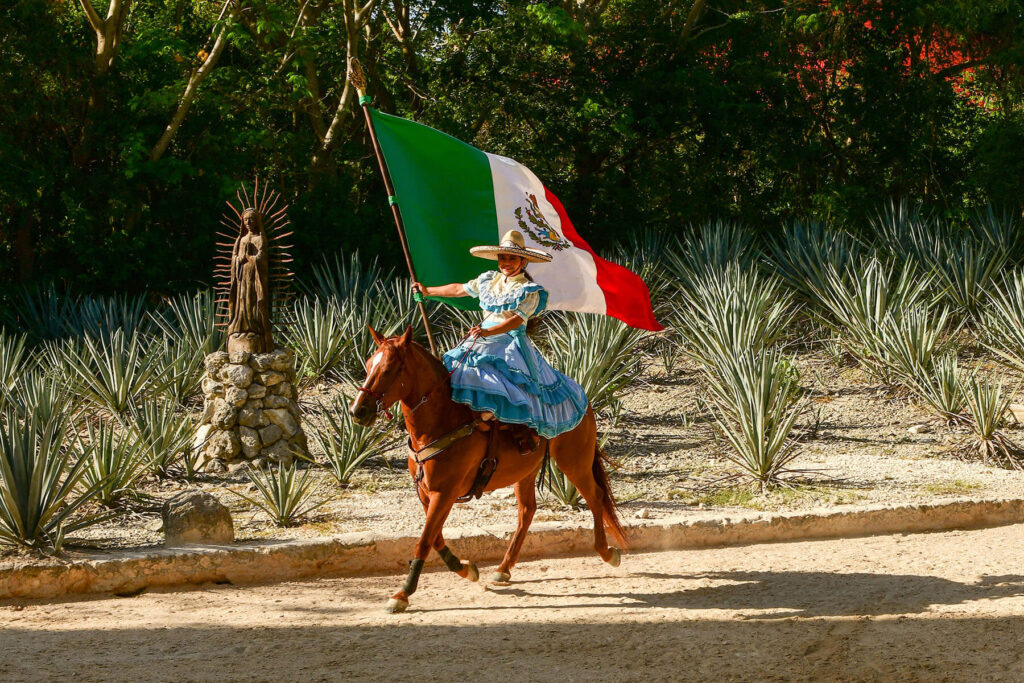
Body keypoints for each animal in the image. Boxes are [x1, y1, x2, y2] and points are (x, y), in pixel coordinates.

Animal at [348, 325, 626, 614]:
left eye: (390, 368)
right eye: (368, 364)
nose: (358, 411)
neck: (443, 420)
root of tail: (582, 394)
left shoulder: (444, 493)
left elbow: (424, 541)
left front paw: (402, 594)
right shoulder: (426, 493)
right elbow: (435, 538)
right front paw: (466, 568)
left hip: (574, 461)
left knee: (595, 496)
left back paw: (607, 552)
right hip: (526, 472)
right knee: (527, 511)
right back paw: (503, 568)